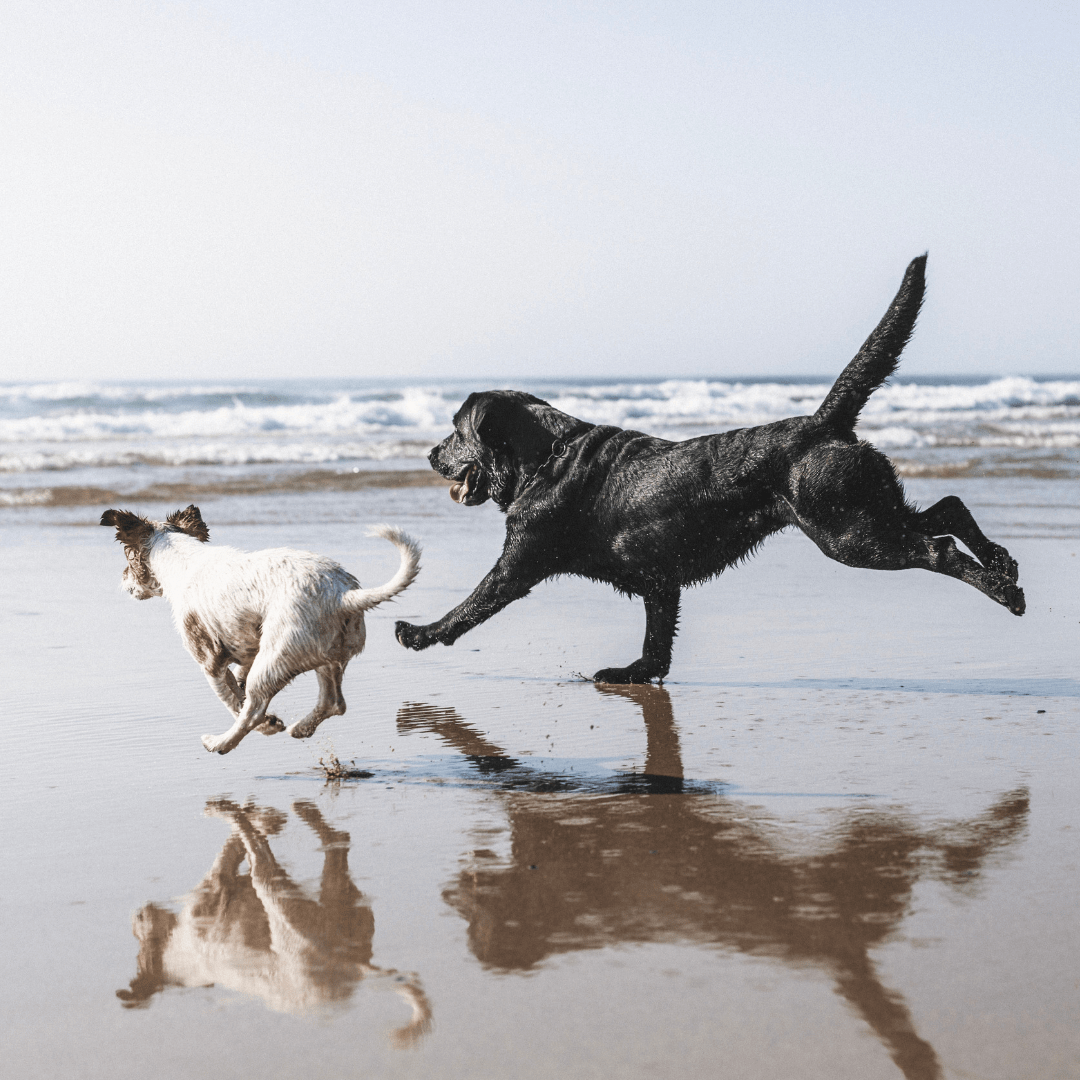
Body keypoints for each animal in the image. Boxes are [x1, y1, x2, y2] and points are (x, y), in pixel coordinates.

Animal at [101, 503, 419, 751]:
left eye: (128, 557)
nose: (123, 579)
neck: (182, 559)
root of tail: (343, 596)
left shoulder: (210, 661)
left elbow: (233, 701)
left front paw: (265, 724)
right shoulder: (246, 648)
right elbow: (239, 683)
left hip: (277, 655)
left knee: (253, 709)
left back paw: (220, 743)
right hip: (324, 656)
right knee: (333, 702)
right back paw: (301, 728)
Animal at [395, 254, 1019, 682]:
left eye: (455, 429)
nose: (429, 454)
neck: (546, 459)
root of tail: (824, 423)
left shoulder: (519, 560)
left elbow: (472, 604)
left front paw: (419, 632)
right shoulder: (658, 580)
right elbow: (655, 645)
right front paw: (633, 675)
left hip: (848, 532)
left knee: (937, 548)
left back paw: (1002, 590)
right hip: (865, 510)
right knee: (947, 509)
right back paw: (1003, 564)